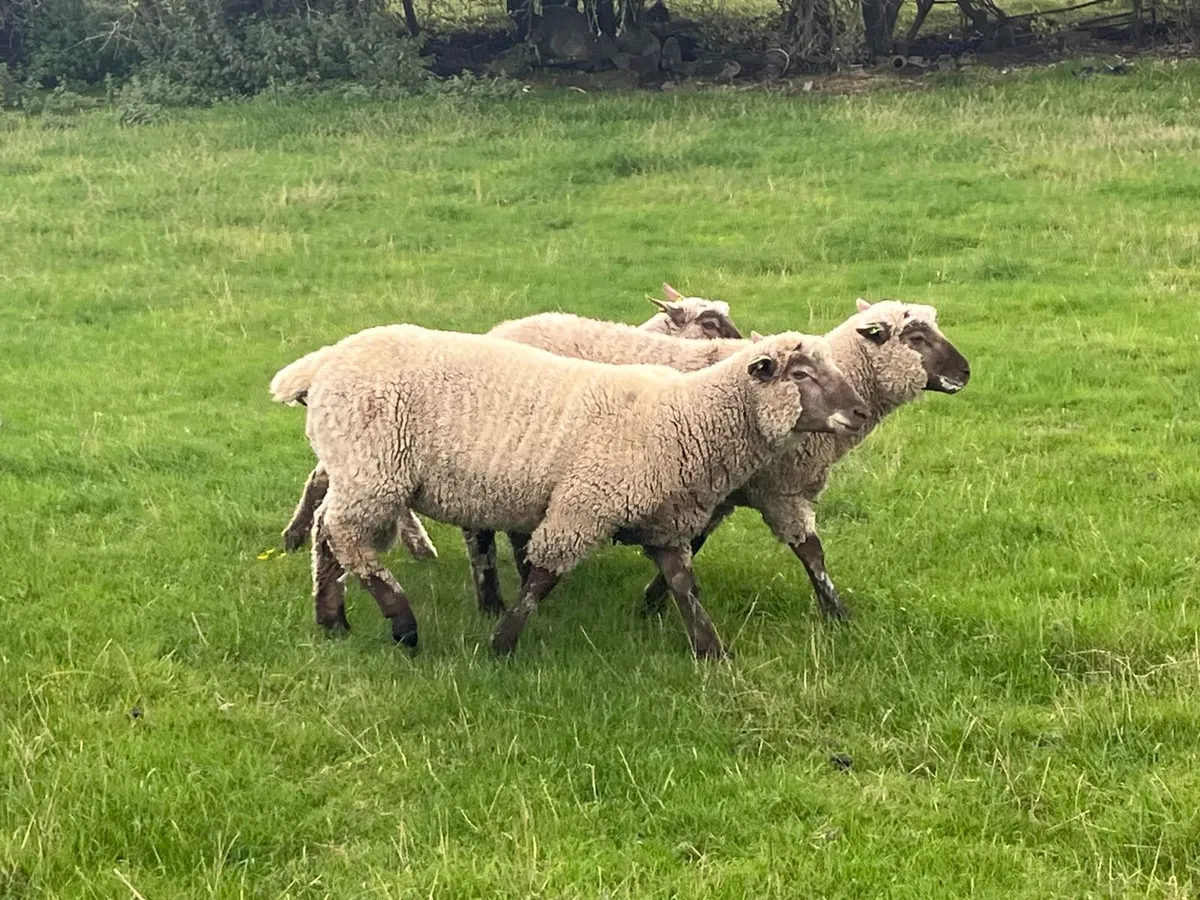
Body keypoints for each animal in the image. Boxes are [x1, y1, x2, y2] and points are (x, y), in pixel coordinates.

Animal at [269, 324, 868, 658]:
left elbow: (683, 587)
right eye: (802, 374)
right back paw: (401, 622)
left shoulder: (664, 523)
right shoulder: (585, 504)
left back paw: (333, 619)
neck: (684, 417)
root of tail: (325, 359)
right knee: (344, 535)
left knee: (328, 533)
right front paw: (501, 646)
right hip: (373, 469)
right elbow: (542, 578)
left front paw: (712, 651)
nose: (860, 412)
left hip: (358, 471)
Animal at [466, 298, 970, 620]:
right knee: (481, 531)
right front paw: (838, 613)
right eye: (917, 336)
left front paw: (654, 600)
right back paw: (492, 601)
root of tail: (499, 329)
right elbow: (811, 553)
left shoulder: (720, 489)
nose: (966, 372)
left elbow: (695, 543)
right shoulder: (774, 489)